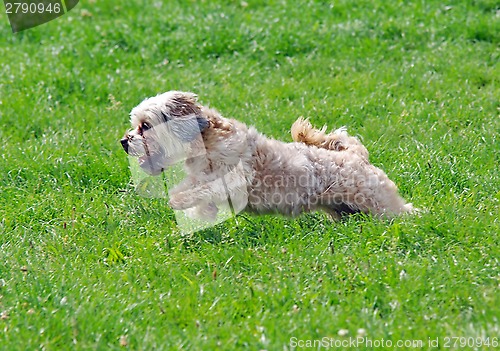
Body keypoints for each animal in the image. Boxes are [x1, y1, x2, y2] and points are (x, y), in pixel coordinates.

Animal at [120, 92, 414, 221]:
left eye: (144, 126)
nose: (124, 141)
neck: (206, 140)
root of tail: (357, 156)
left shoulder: (233, 179)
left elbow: (195, 191)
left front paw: (180, 201)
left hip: (380, 205)